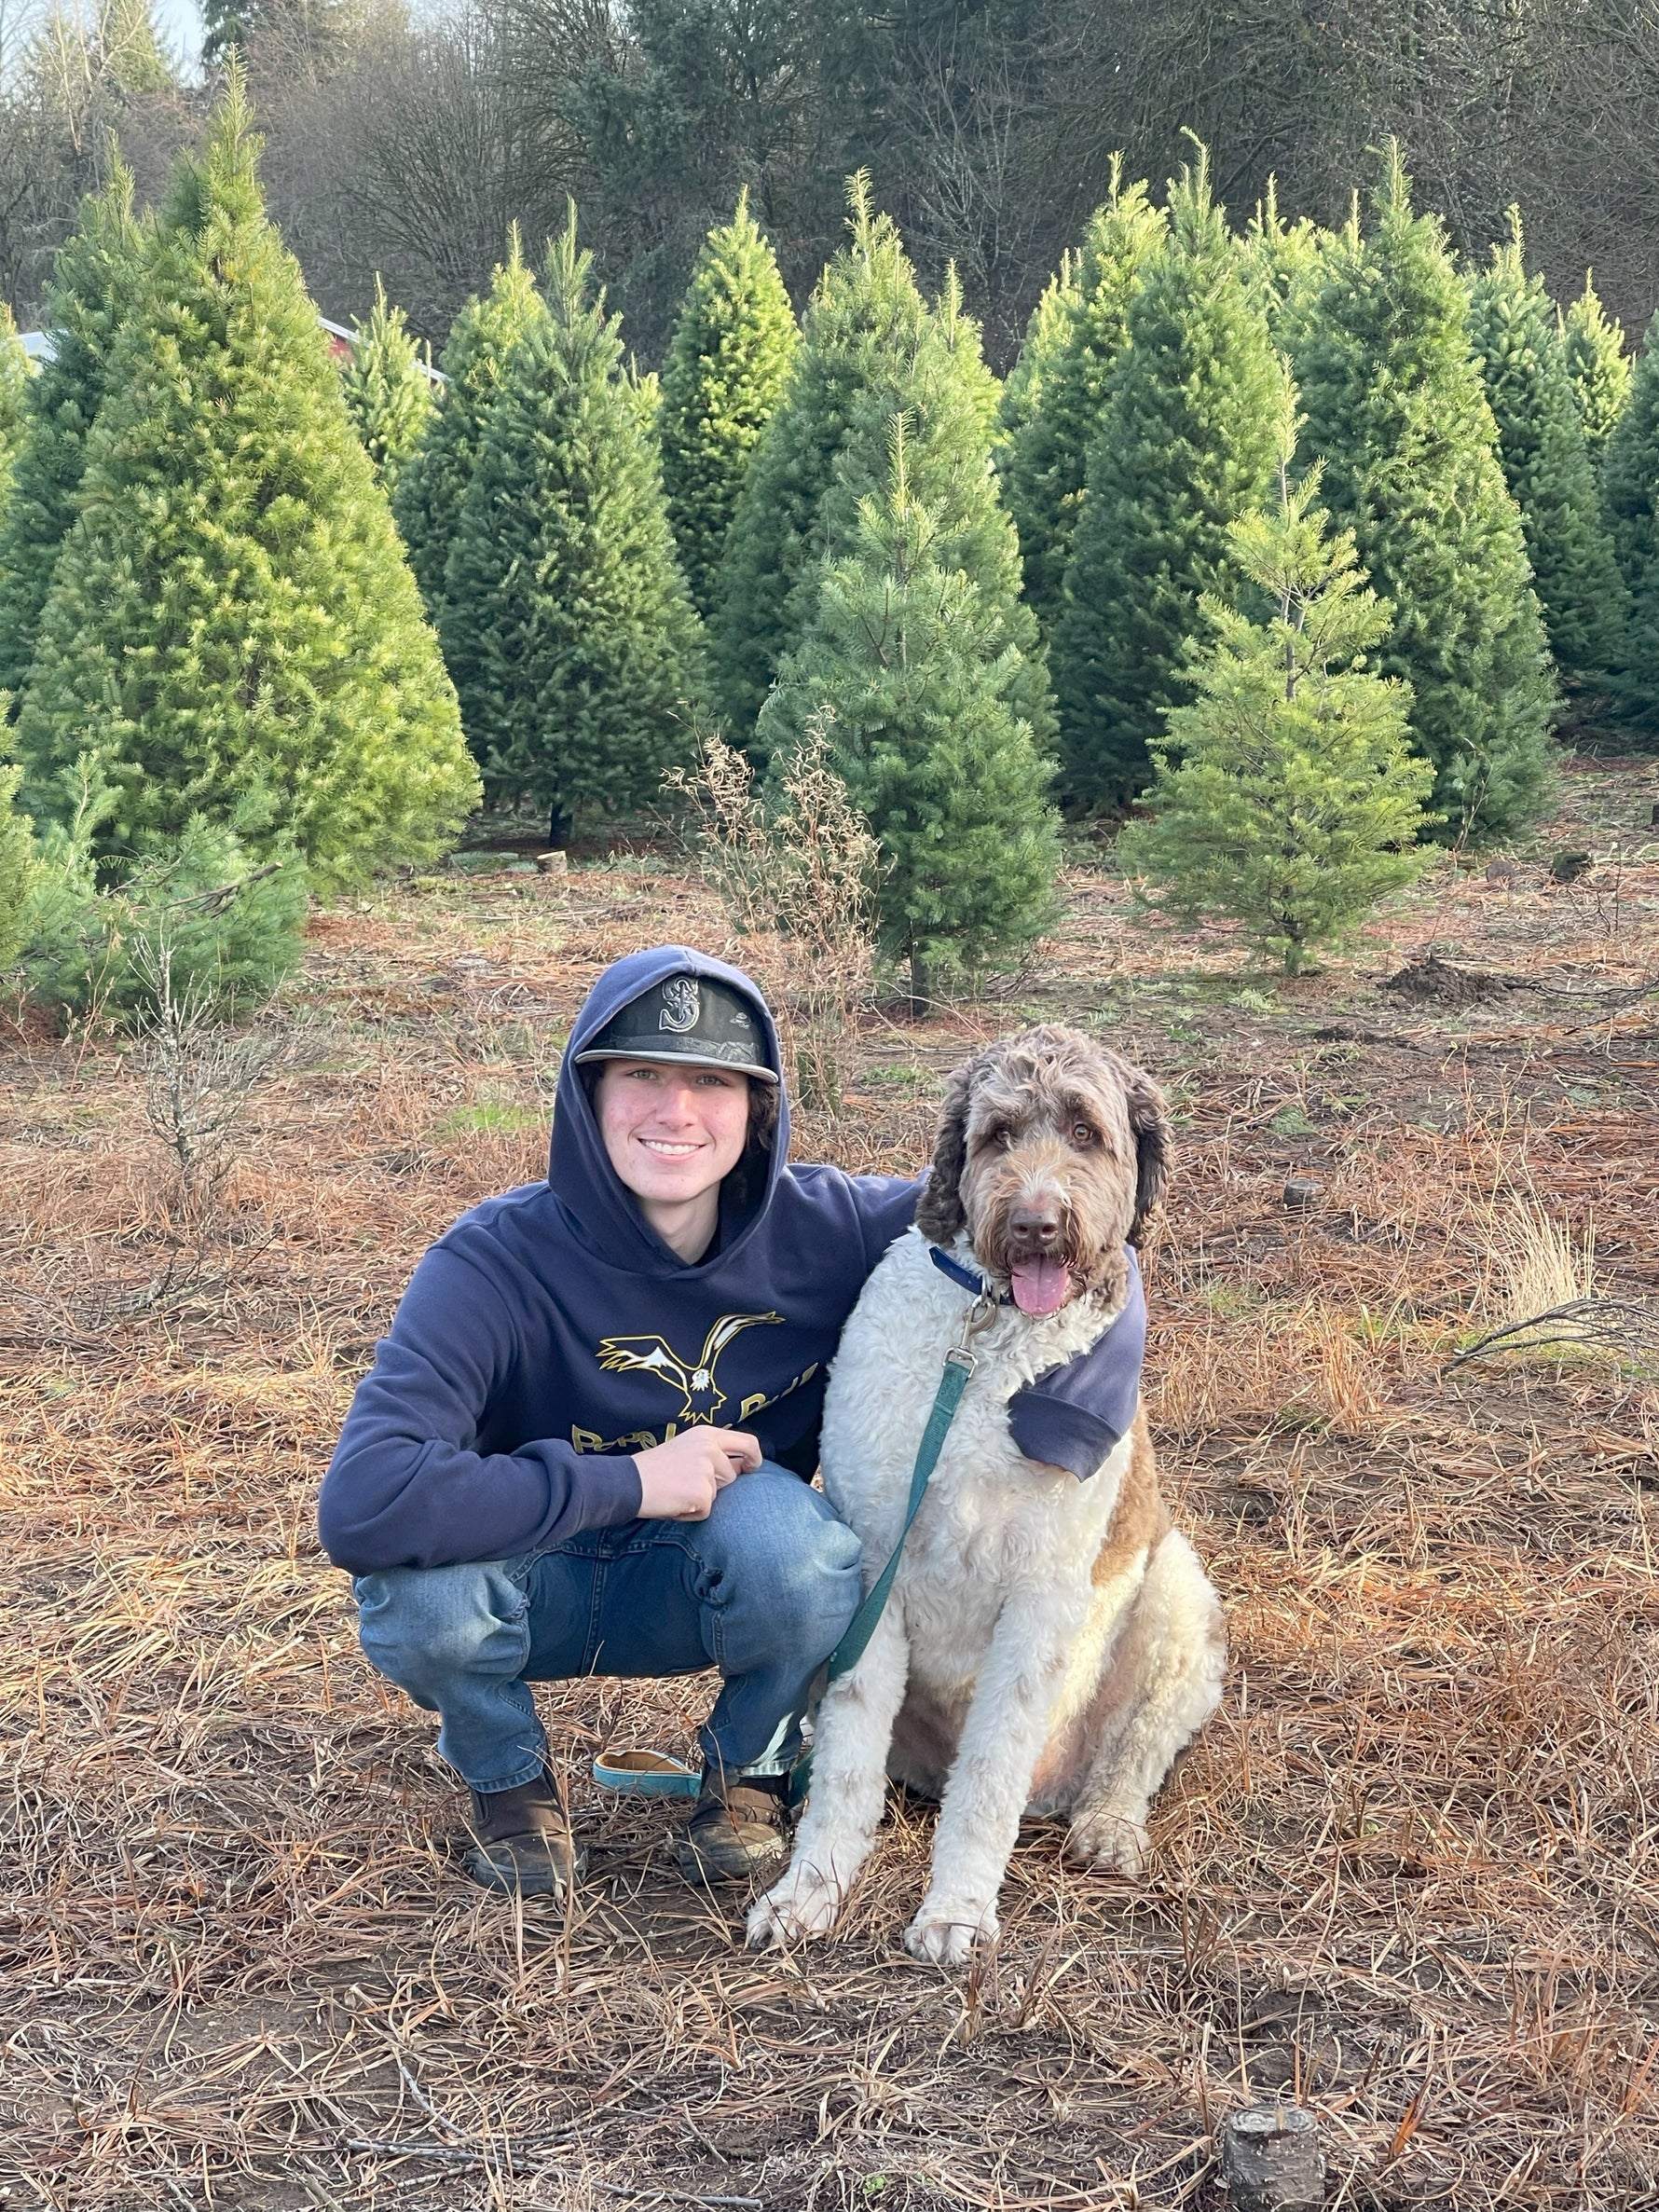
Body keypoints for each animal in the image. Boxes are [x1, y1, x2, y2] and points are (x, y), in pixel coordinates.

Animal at [747, 1026, 1229, 1964]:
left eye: (1084, 1132)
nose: (1035, 1221)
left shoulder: (1042, 1596)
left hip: (1177, 1599)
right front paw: (810, 1889)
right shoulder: (874, 1567)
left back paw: (1109, 1826)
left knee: (1133, 1752)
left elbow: (990, 1775)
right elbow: (848, 1764)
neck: (989, 1341)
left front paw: (956, 1910)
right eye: (998, 1134)